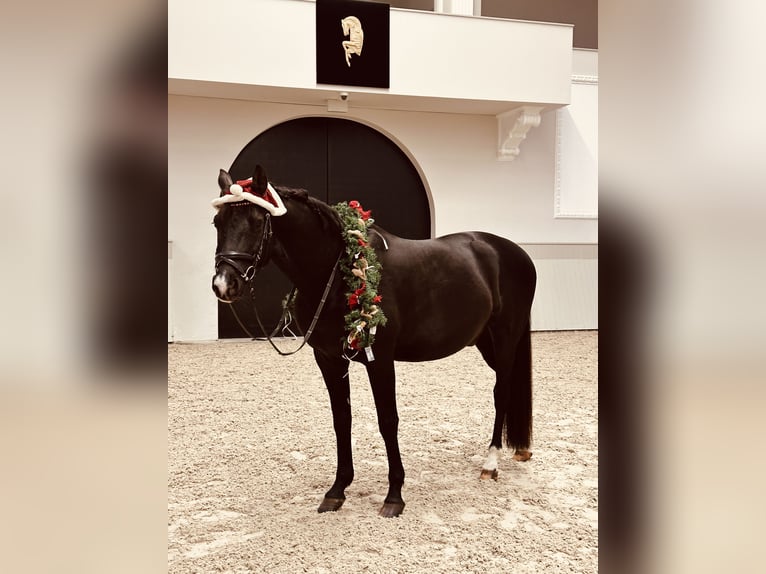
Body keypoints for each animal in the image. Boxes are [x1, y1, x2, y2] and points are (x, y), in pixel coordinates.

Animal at [211, 165, 536, 518]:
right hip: (485, 342)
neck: (338, 270)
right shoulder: (329, 359)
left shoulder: (379, 359)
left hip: (505, 340)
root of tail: (513, 252)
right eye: (217, 222)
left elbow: (387, 421)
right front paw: (337, 490)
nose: (224, 284)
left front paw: (394, 495)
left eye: (257, 222)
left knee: (501, 392)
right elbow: (342, 420)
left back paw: (490, 463)